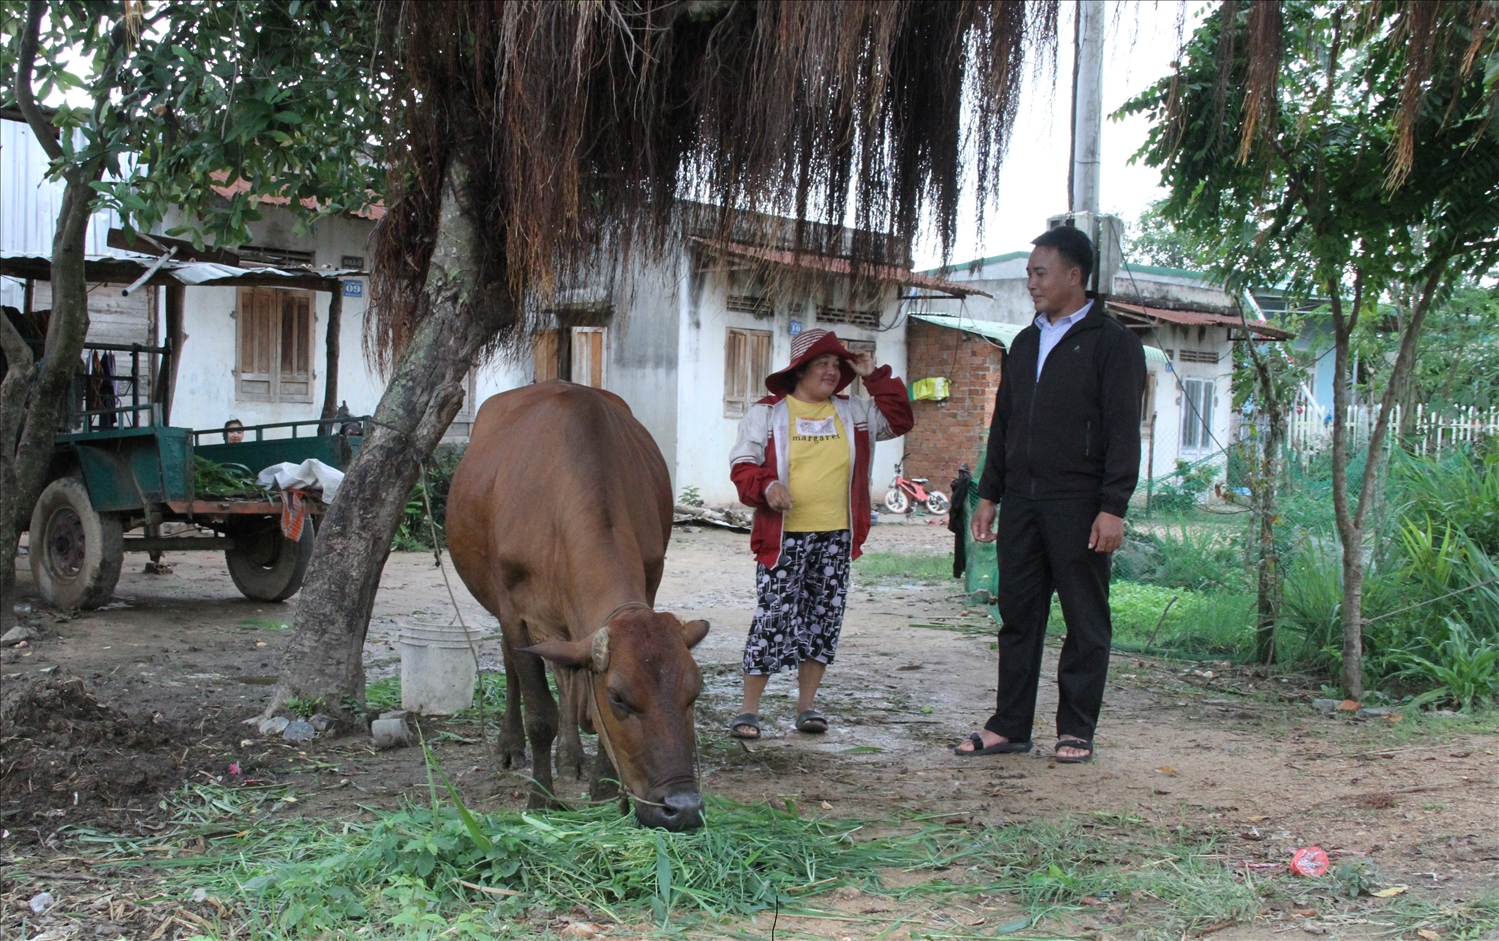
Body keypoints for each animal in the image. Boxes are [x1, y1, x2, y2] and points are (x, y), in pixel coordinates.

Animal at [443, 379, 707, 827]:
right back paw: (511, 746)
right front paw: (540, 800)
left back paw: (570, 757)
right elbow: (540, 712)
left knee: (566, 676)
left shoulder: (647, 584)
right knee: (514, 665)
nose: (683, 807)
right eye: (618, 697)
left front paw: (603, 790)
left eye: (695, 692)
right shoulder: (515, 615)